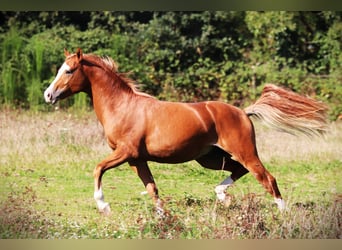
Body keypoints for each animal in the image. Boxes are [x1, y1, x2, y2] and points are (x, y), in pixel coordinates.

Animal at [44, 48, 328, 215]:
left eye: (68, 70)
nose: (48, 95)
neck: (123, 107)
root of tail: (243, 112)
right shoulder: (137, 160)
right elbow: (152, 189)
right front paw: (163, 218)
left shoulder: (126, 153)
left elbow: (98, 169)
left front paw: (103, 205)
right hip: (209, 157)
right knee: (240, 170)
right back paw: (221, 195)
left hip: (244, 151)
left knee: (267, 178)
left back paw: (282, 213)